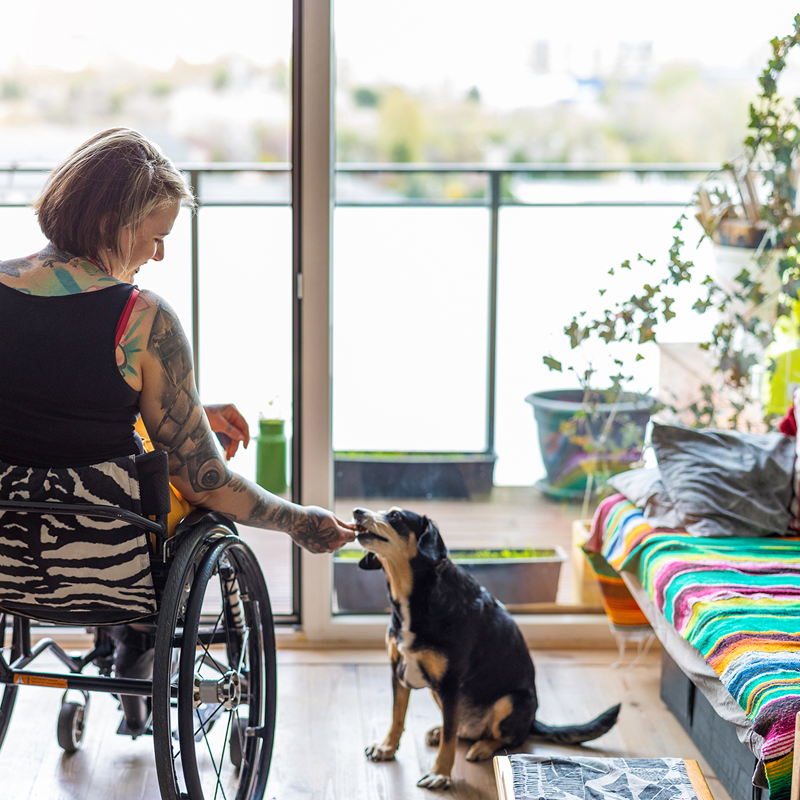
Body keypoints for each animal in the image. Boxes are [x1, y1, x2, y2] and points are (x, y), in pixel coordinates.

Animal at [354, 506, 620, 788]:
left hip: (511, 700)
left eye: (396, 516)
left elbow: (448, 740)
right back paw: (442, 731)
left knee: (506, 738)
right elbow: (397, 716)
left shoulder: (450, 684)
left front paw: (440, 773)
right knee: (459, 728)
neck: (417, 596)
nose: (357, 511)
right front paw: (387, 747)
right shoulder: (398, 671)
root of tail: (533, 720)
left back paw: (482, 746)